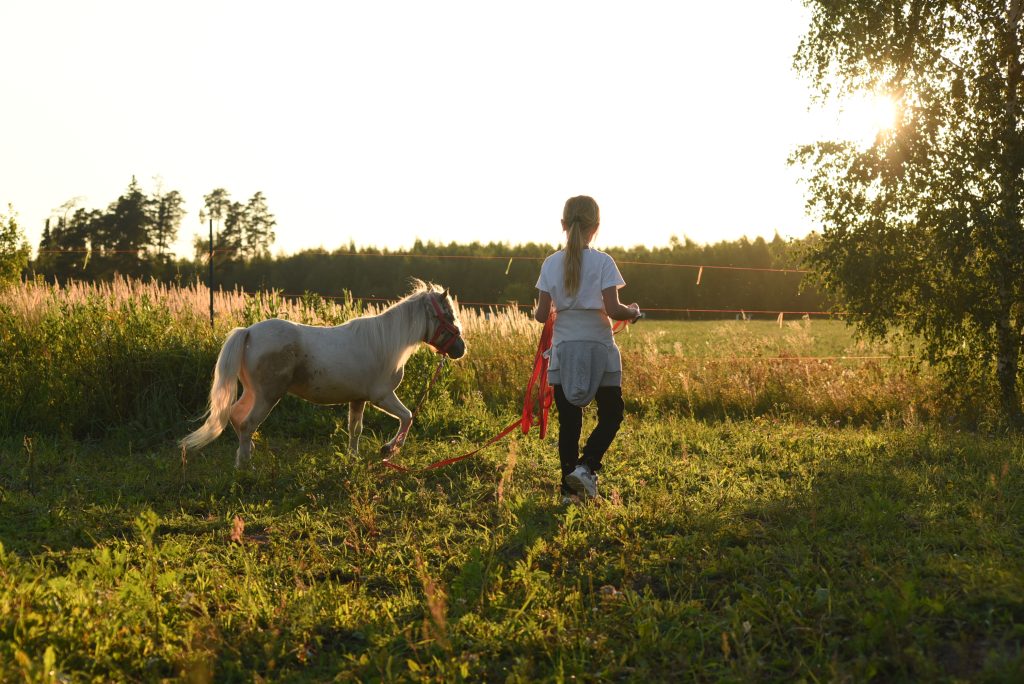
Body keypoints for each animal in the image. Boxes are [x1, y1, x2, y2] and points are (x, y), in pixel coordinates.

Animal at [182, 280, 466, 466]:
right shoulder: (382, 396)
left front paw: (353, 458)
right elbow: (407, 417)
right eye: (448, 316)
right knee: (248, 423)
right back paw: (245, 465)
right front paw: (388, 449)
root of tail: (249, 332)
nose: (461, 349)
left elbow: (355, 429)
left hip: (252, 392)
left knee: (236, 417)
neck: (384, 343)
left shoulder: (358, 399)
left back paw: (246, 453)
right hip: (267, 396)